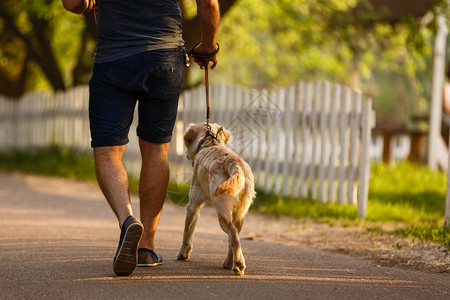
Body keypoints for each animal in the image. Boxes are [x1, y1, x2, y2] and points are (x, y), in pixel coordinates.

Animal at [178, 122, 256, 276]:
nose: (186, 155)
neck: (210, 144)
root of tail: (236, 165)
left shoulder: (193, 205)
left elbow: (187, 232)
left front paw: (183, 254)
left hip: (222, 213)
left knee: (233, 235)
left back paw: (239, 264)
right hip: (239, 215)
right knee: (233, 237)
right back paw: (229, 263)